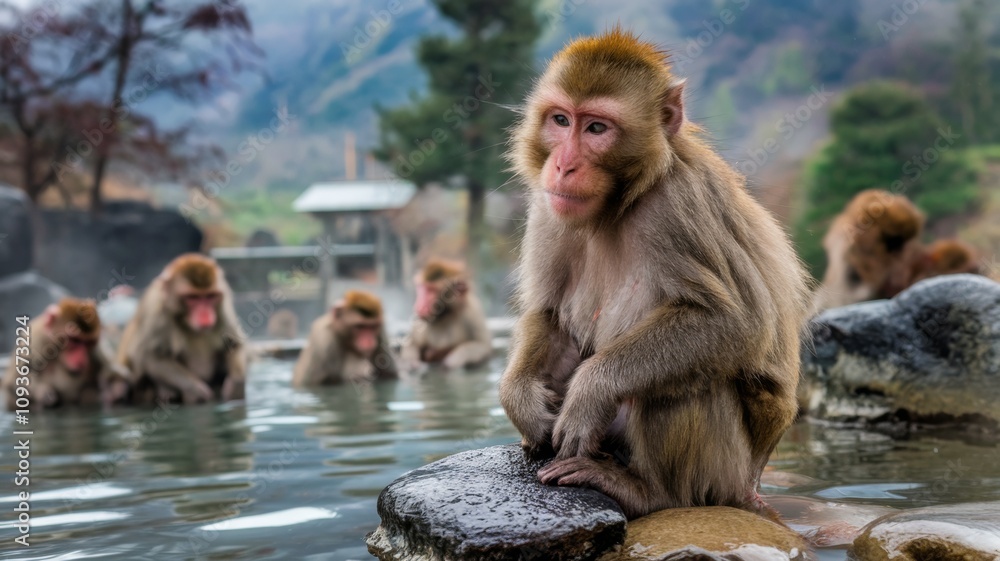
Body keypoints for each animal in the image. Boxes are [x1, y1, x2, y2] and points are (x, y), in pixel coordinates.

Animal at [117, 253, 247, 404]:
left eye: (210, 296)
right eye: (192, 297)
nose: (205, 315)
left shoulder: (223, 308)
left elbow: (234, 344)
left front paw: (236, 385)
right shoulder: (155, 308)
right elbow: (149, 355)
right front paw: (196, 390)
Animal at [497, 29, 812, 520]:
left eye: (597, 128)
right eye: (561, 120)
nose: (563, 165)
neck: (617, 204)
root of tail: (751, 486)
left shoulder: (677, 204)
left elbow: (735, 323)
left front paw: (590, 392)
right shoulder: (548, 208)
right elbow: (550, 316)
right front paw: (521, 402)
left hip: (724, 471)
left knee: (688, 385)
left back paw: (650, 493)